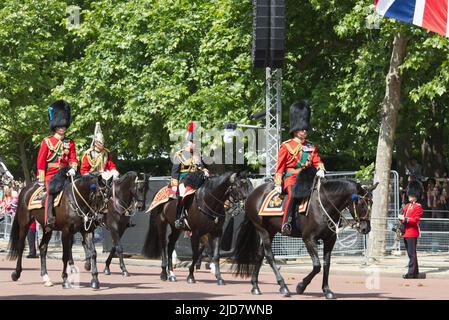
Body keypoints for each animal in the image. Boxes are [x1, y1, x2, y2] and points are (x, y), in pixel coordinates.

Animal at [233, 170, 376, 300]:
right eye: (361, 203)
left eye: (372, 203)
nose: (366, 228)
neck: (323, 203)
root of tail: (253, 193)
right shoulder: (309, 239)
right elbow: (317, 266)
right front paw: (301, 286)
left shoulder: (330, 240)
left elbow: (326, 264)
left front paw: (327, 290)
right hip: (262, 230)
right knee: (269, 256)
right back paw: (283, 286)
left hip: (271, 230)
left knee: (259, 254)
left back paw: (255, 287)